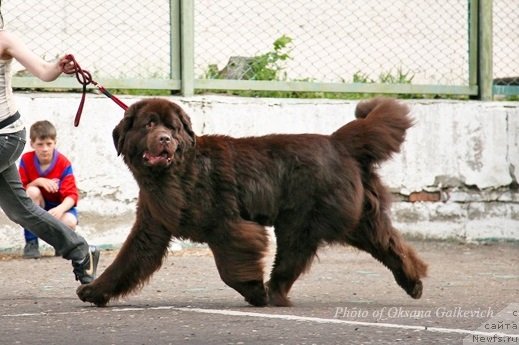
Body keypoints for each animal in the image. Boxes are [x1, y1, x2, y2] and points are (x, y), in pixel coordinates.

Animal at [76, 97, 426, 306]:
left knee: (290, 261)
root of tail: (339, 141)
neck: (178, 171)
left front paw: (253, 290)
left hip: (302, 222)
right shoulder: (152, 226)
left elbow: (230, 268)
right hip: (356, 218)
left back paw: (272, 293)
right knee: (390, 244)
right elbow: (127, 261)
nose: (165, 139)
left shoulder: (228, 226)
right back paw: (413, 281)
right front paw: (95, 291)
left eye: (172, 129)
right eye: (149, 124)